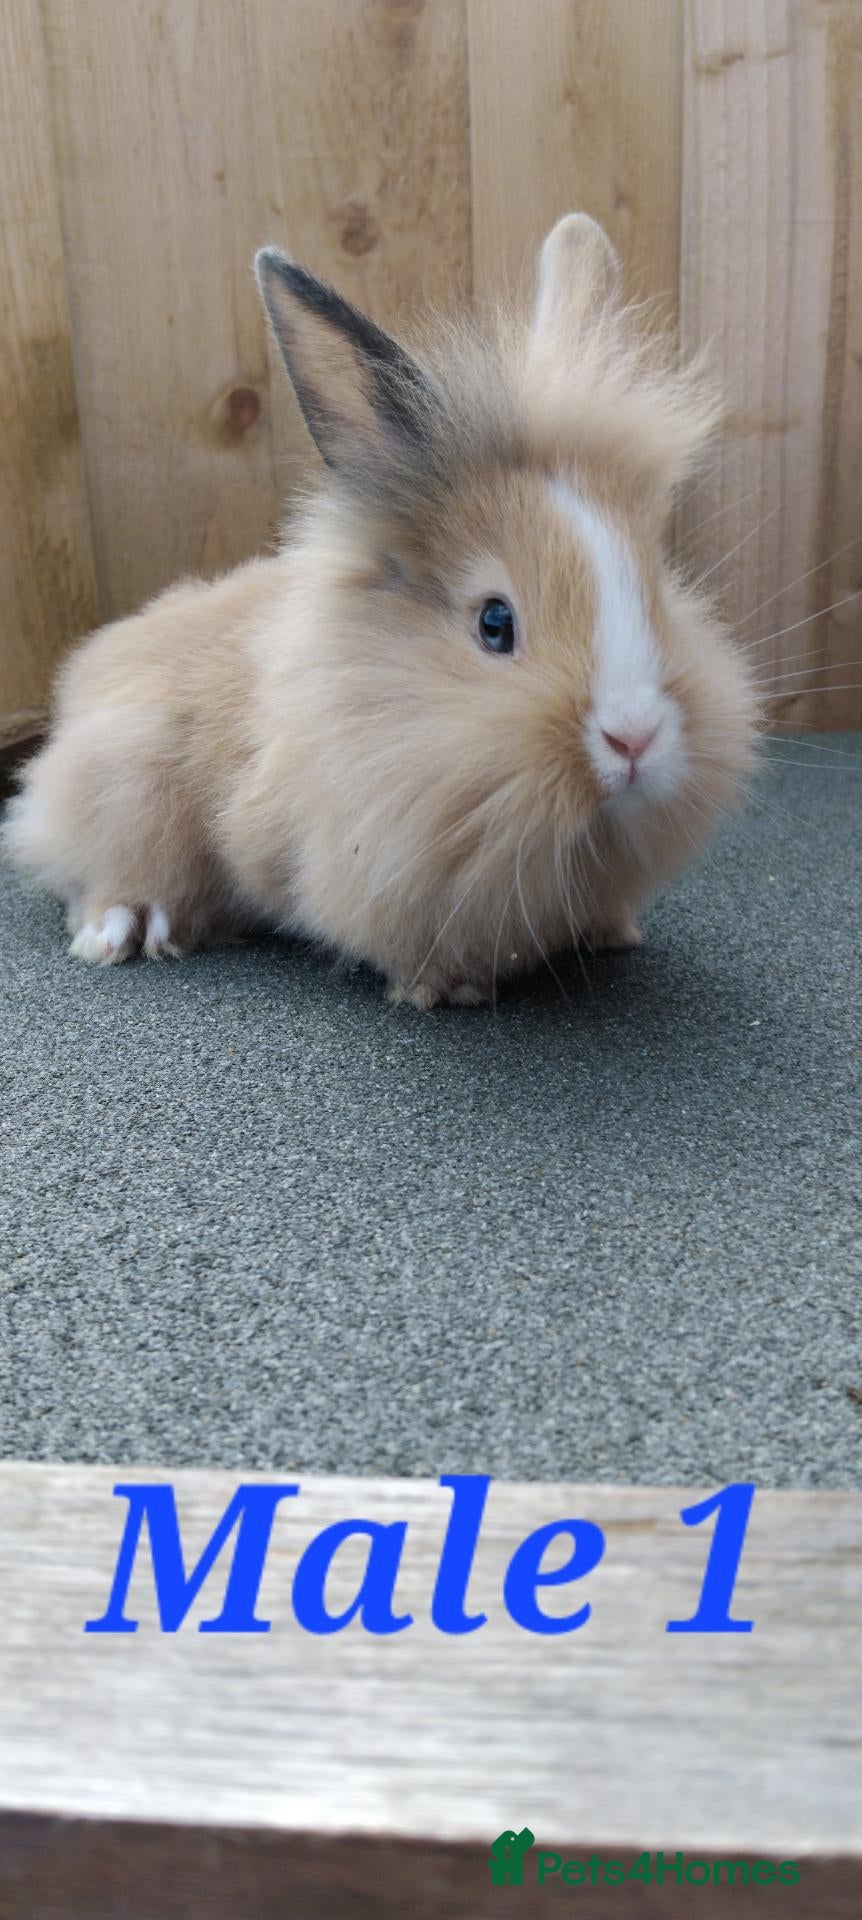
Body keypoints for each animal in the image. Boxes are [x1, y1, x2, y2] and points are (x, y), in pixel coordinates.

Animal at [4, 214, 760, 1008]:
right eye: (495, 623)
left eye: (657, 587)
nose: (634, 739)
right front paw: (449, 988)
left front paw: (611, 934)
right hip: (122, 782)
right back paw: (122, 931)